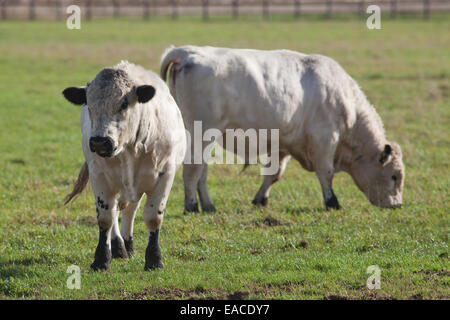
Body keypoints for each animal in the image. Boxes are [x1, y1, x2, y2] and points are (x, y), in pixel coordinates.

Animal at [62, 60, 185, 270]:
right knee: (117, 210)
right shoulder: (99, 177)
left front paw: (154, 260)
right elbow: (106, 218)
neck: (129, 149)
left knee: (130, 210)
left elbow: (153, 217)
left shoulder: (165, 175)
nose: (100, 142)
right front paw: (101, 259)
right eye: (88, 104)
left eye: (124, 103)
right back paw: (119, 246)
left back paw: (128, 244)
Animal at [161, 44, 404, 210]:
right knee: (192, 169)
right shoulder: (324, 139)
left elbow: (273, 174)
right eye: (395, 176)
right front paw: (332, 201)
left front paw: (260, 199)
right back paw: (192, 206)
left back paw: (208, 205)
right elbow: (325, 172)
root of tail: (189, 52)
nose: (398, 205)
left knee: (201, 171)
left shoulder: (282, 145)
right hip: (201, 134)